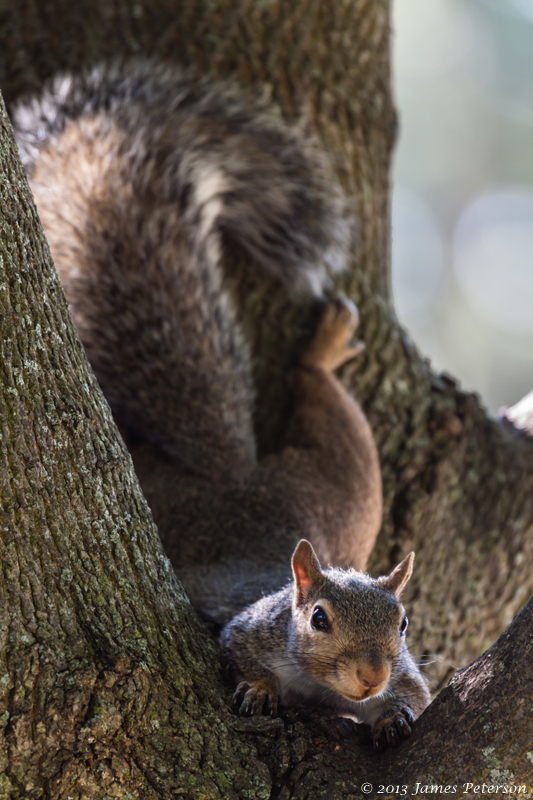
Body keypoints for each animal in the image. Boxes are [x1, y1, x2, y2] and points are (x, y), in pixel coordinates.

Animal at [12, 61, 430, 752]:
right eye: (318, 619)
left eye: (402, 624)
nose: (370, 677)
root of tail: (228, 474)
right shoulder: (248, 627)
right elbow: (237, 650)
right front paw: (259, 691)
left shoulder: (408, 672)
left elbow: (417, 697)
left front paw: (395, 714)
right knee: (319, 392)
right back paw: (323, 348)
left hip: (348, 486)